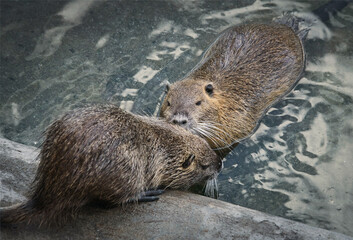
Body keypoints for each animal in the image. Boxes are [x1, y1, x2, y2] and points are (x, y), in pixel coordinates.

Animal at [0, 105, 220, 227]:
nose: (220, 164)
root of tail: (43, 198)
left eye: (207, 144)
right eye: (204, 166)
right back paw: (145, 194)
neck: (164, 145)